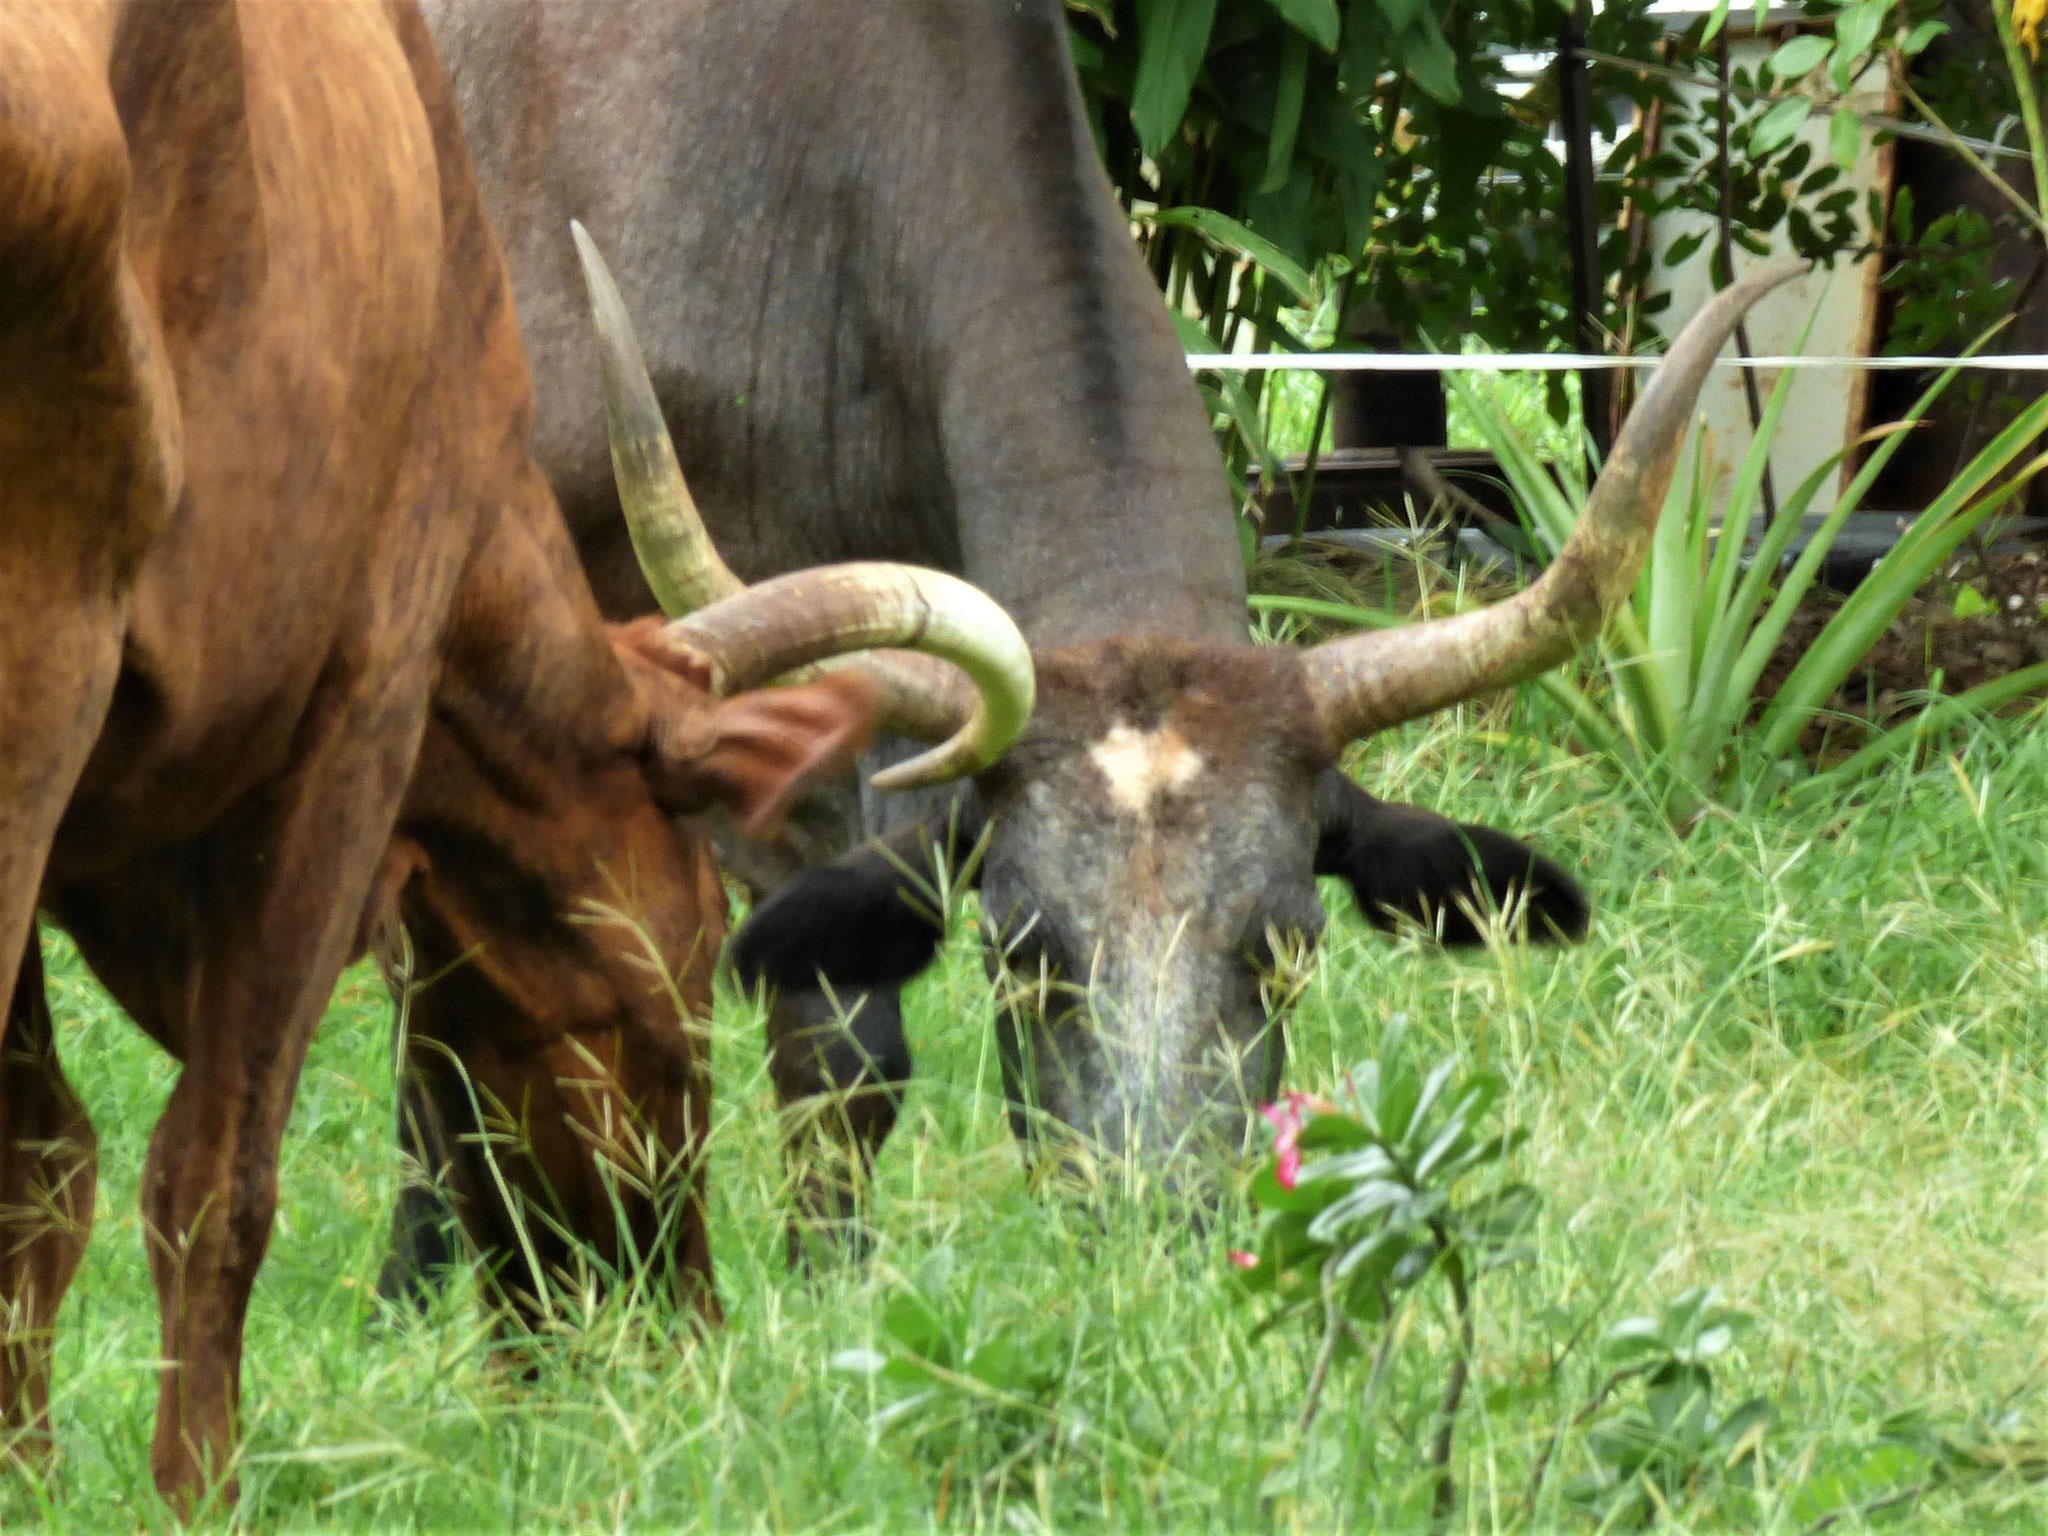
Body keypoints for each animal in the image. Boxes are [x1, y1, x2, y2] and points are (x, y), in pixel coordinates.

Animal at [0, 0, 1024, 1515]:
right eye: (694, 953)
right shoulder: (358, 716)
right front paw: (200, 1499)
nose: (679, 1316)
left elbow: (39, 1162)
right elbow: (213, 1175)